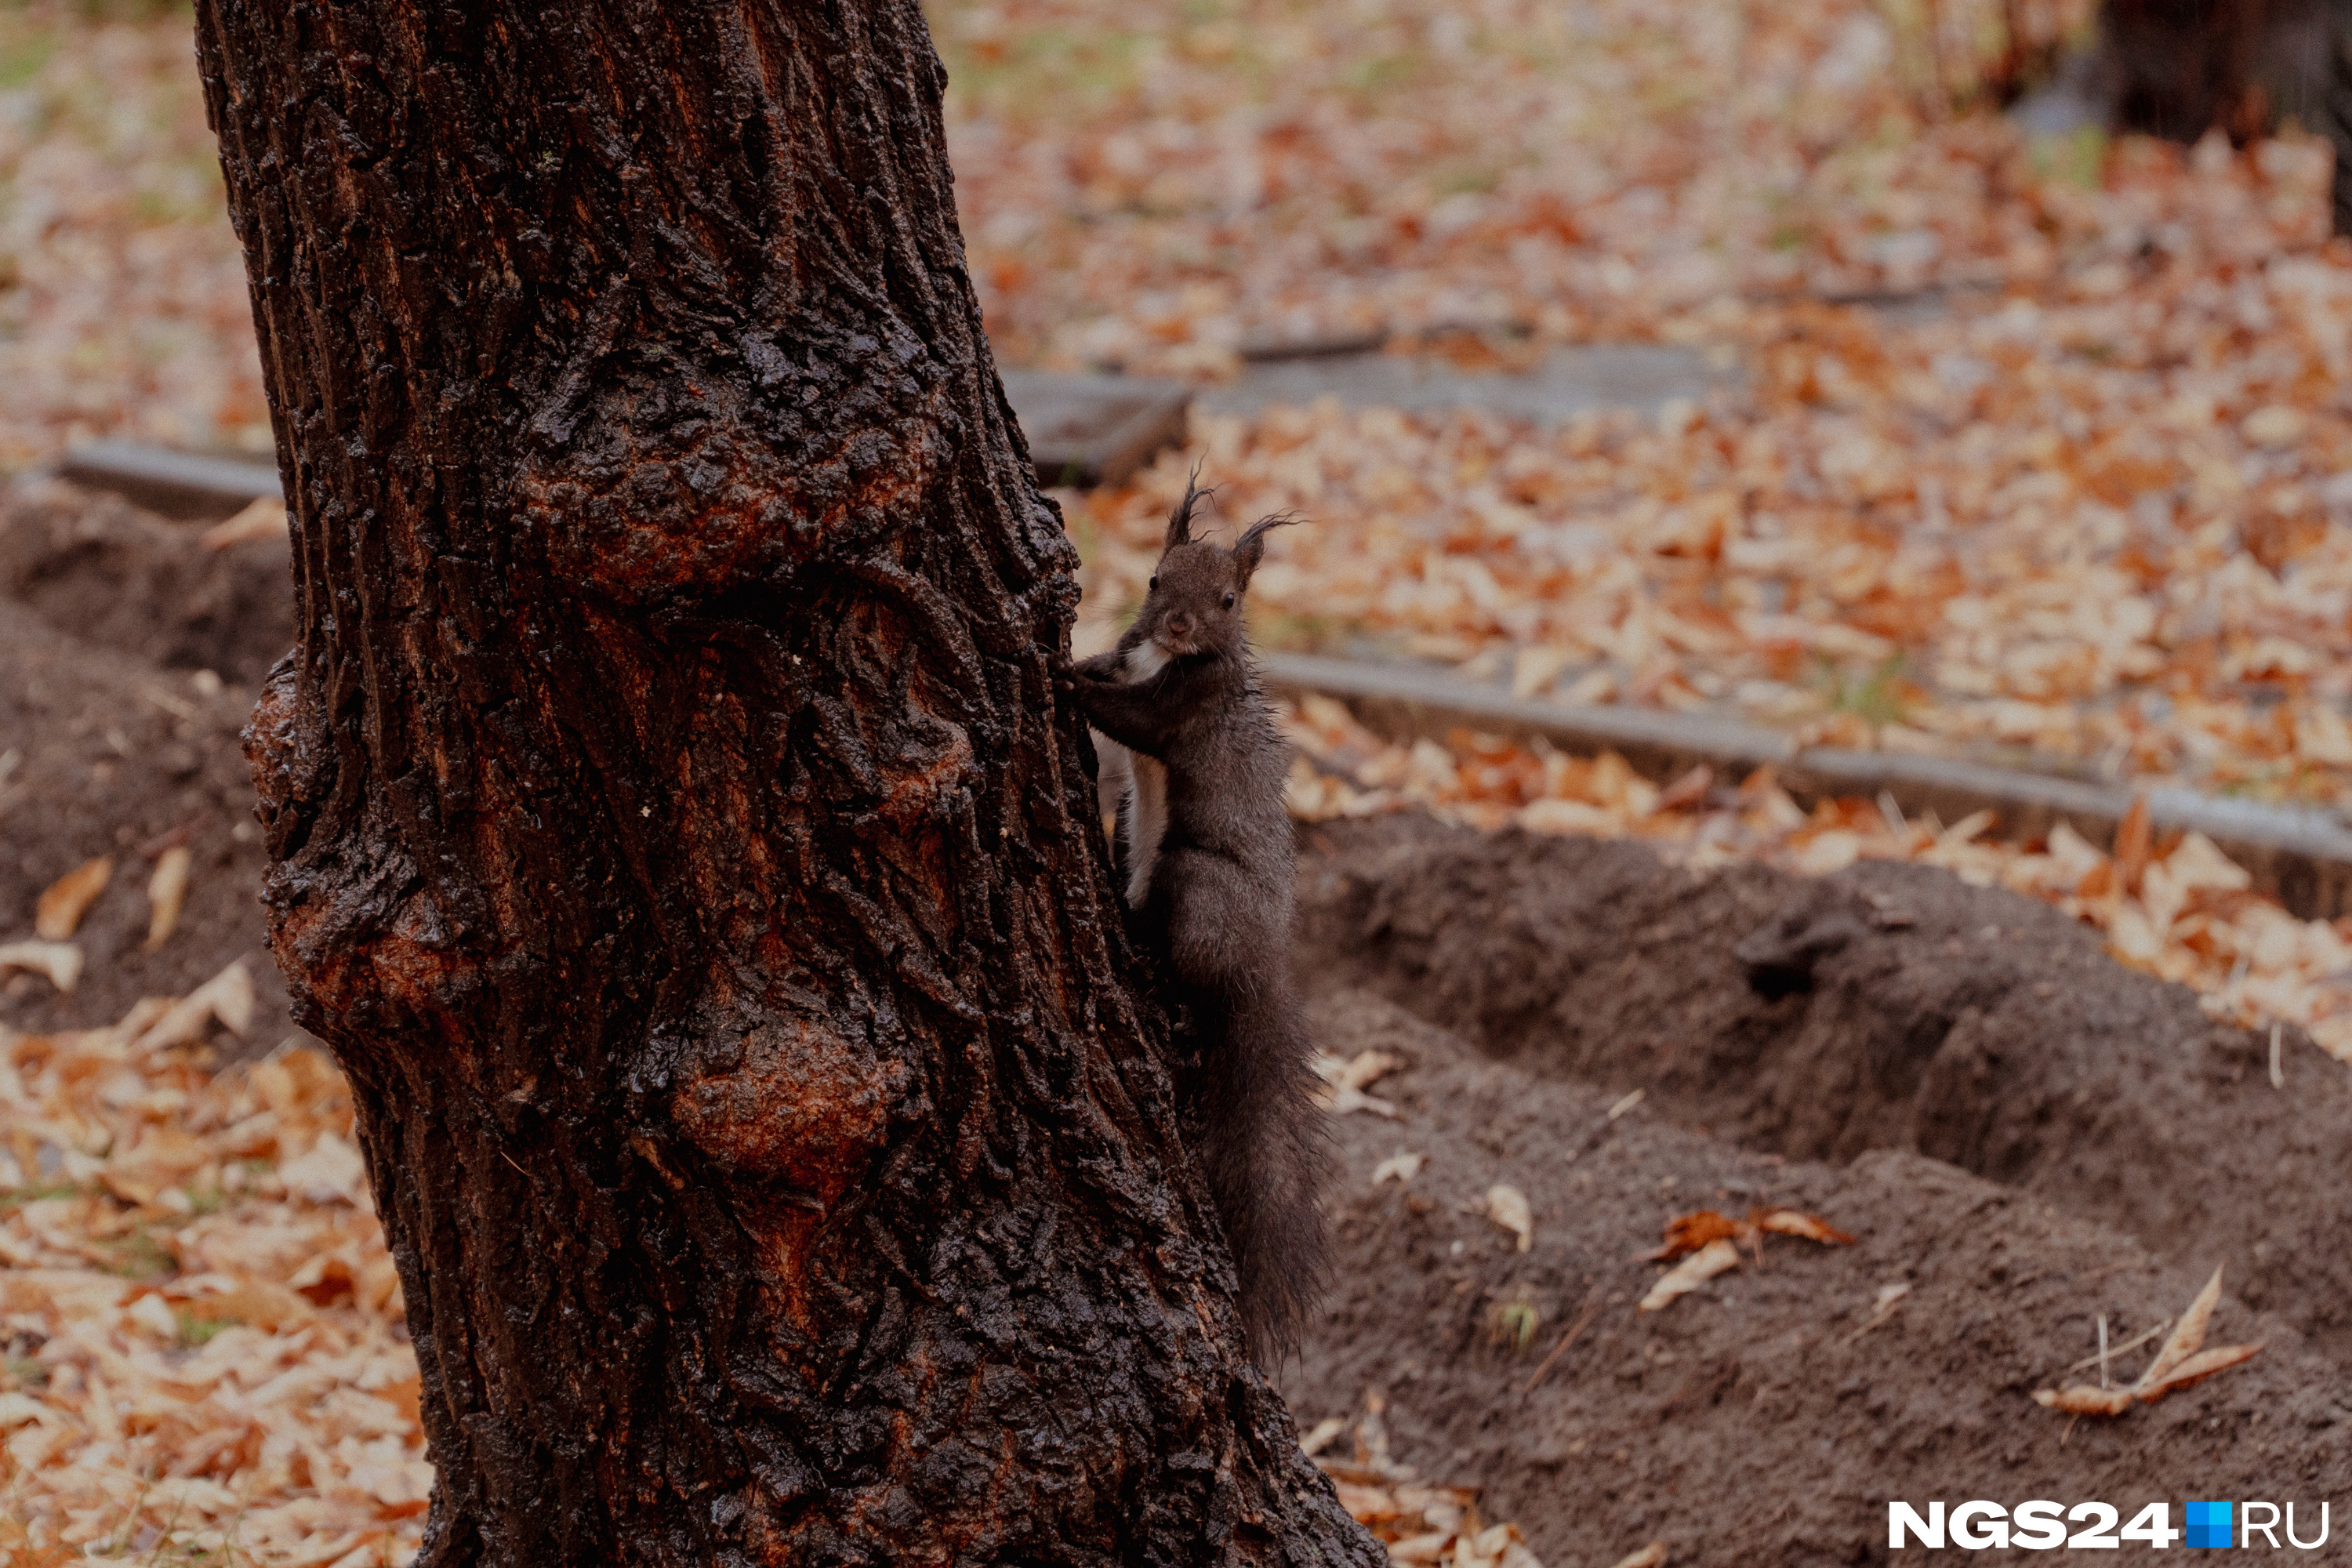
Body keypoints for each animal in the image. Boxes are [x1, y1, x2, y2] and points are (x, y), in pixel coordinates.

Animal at [1077, 484, 1336, 1363]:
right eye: (1156, 579)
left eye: (1229, 600)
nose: (1181, 624)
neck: (1166, 660)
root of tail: (1257, 965)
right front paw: (1082, 657)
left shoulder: (1185, 708)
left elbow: (1132, 722)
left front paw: (1062, 676)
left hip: (1195, 884)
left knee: (1187, 967)